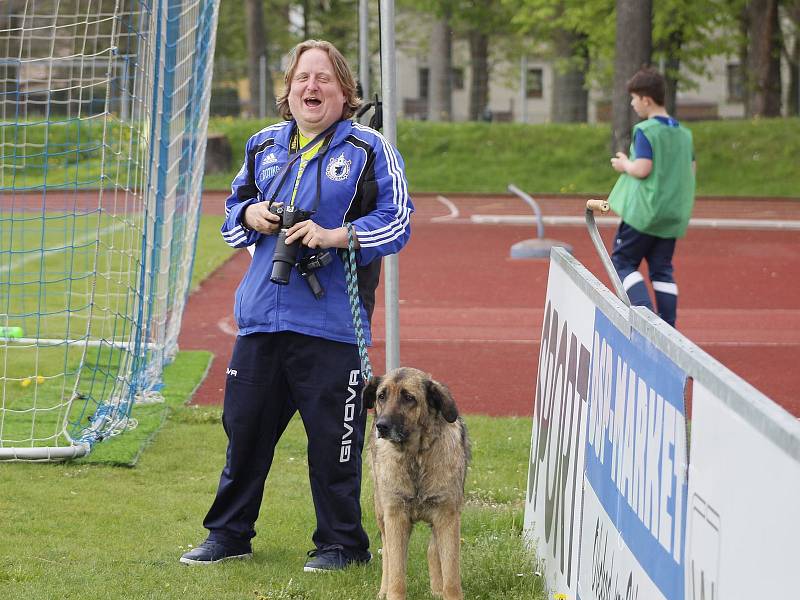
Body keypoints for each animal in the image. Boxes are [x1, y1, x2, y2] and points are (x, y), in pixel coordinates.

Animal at [362, 368, 468, 600]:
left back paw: (436, 588)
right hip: (382, 511)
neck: (415, 456)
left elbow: (451, 575)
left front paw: (445, 590)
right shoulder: (396, 517)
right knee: (387, 554)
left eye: (409, 398)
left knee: (433, 550)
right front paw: (392, 592)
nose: (381, 426)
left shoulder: (447, 516)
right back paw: (383, 590)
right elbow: (397, 574)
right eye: (381, 396)